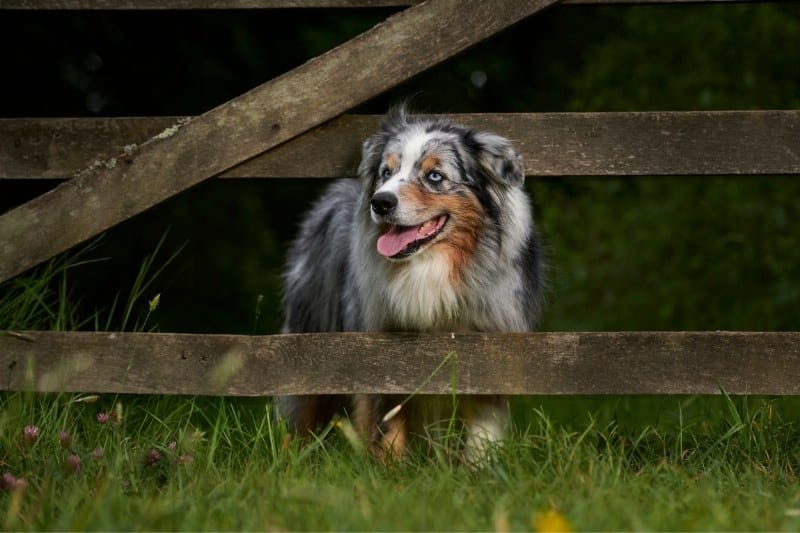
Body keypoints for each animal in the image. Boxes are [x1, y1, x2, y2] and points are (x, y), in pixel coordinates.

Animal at [274, 107, 544, 462]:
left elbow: (482, 433)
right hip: (309, 335)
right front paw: (389, 470)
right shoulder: (381, 353)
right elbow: (386, 428)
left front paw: (478, 469)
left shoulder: (489, 349)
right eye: (386, 172)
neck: (430, 266)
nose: (380, 202)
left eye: (435, 176)